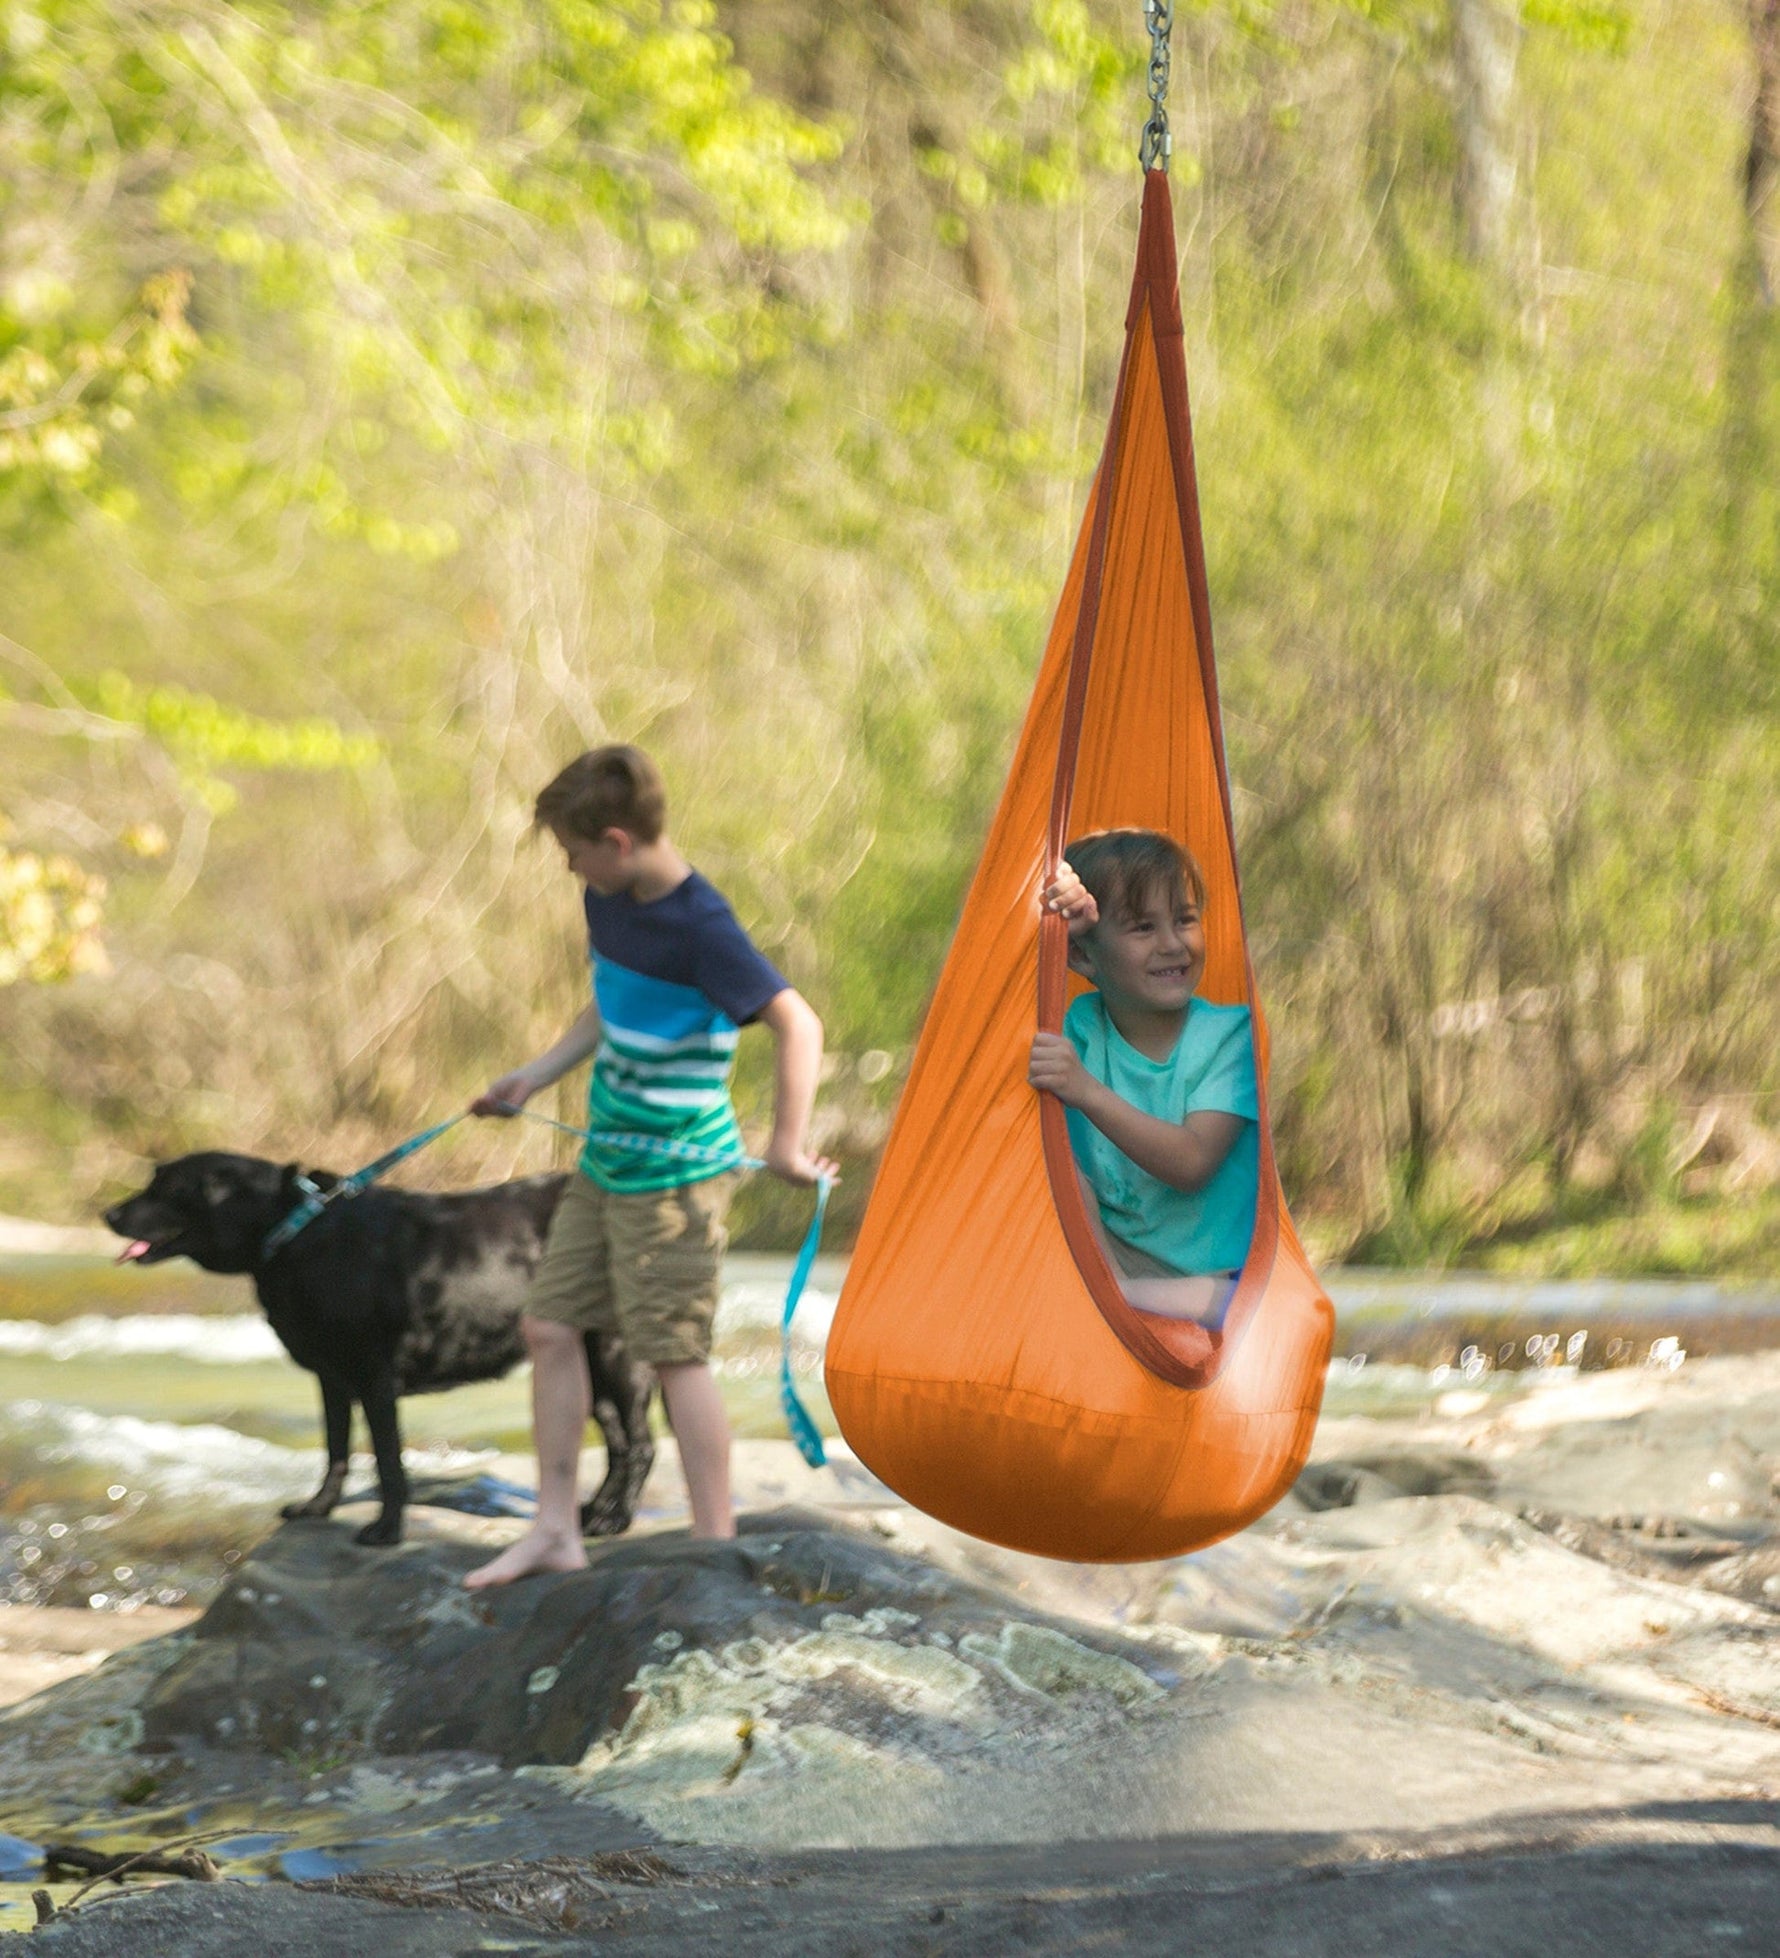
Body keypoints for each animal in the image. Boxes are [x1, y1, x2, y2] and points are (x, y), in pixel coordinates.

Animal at [102, 1143, 654, 1542]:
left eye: (165, 1188)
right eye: (152, 1181)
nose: (107, 1214)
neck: (297, 1232)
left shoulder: (374, 1377)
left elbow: (388, 1462)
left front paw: (387, 1530)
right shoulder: (331, 1378)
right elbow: (336, 1450)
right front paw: (318, 1507)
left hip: (616, 1352)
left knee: (642, 1444)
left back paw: (616, 1520)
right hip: (583, 1359)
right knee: (618, 1441)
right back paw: (594, 1511)